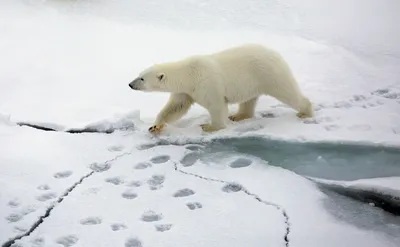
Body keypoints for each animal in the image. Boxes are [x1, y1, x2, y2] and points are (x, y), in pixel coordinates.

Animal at [128, 44, 312, 133]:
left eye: (142, 78)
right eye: (139, 74)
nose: (130, 84)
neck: (188, 73)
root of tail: (276, 53)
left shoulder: (206, 83)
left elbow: (216, 105)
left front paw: (210, 127)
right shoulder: (185, 90)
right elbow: (176, 107)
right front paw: (155, 127)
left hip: (268, 73)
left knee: (286, 91)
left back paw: (305, 112)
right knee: (249, 100)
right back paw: (238, 116)